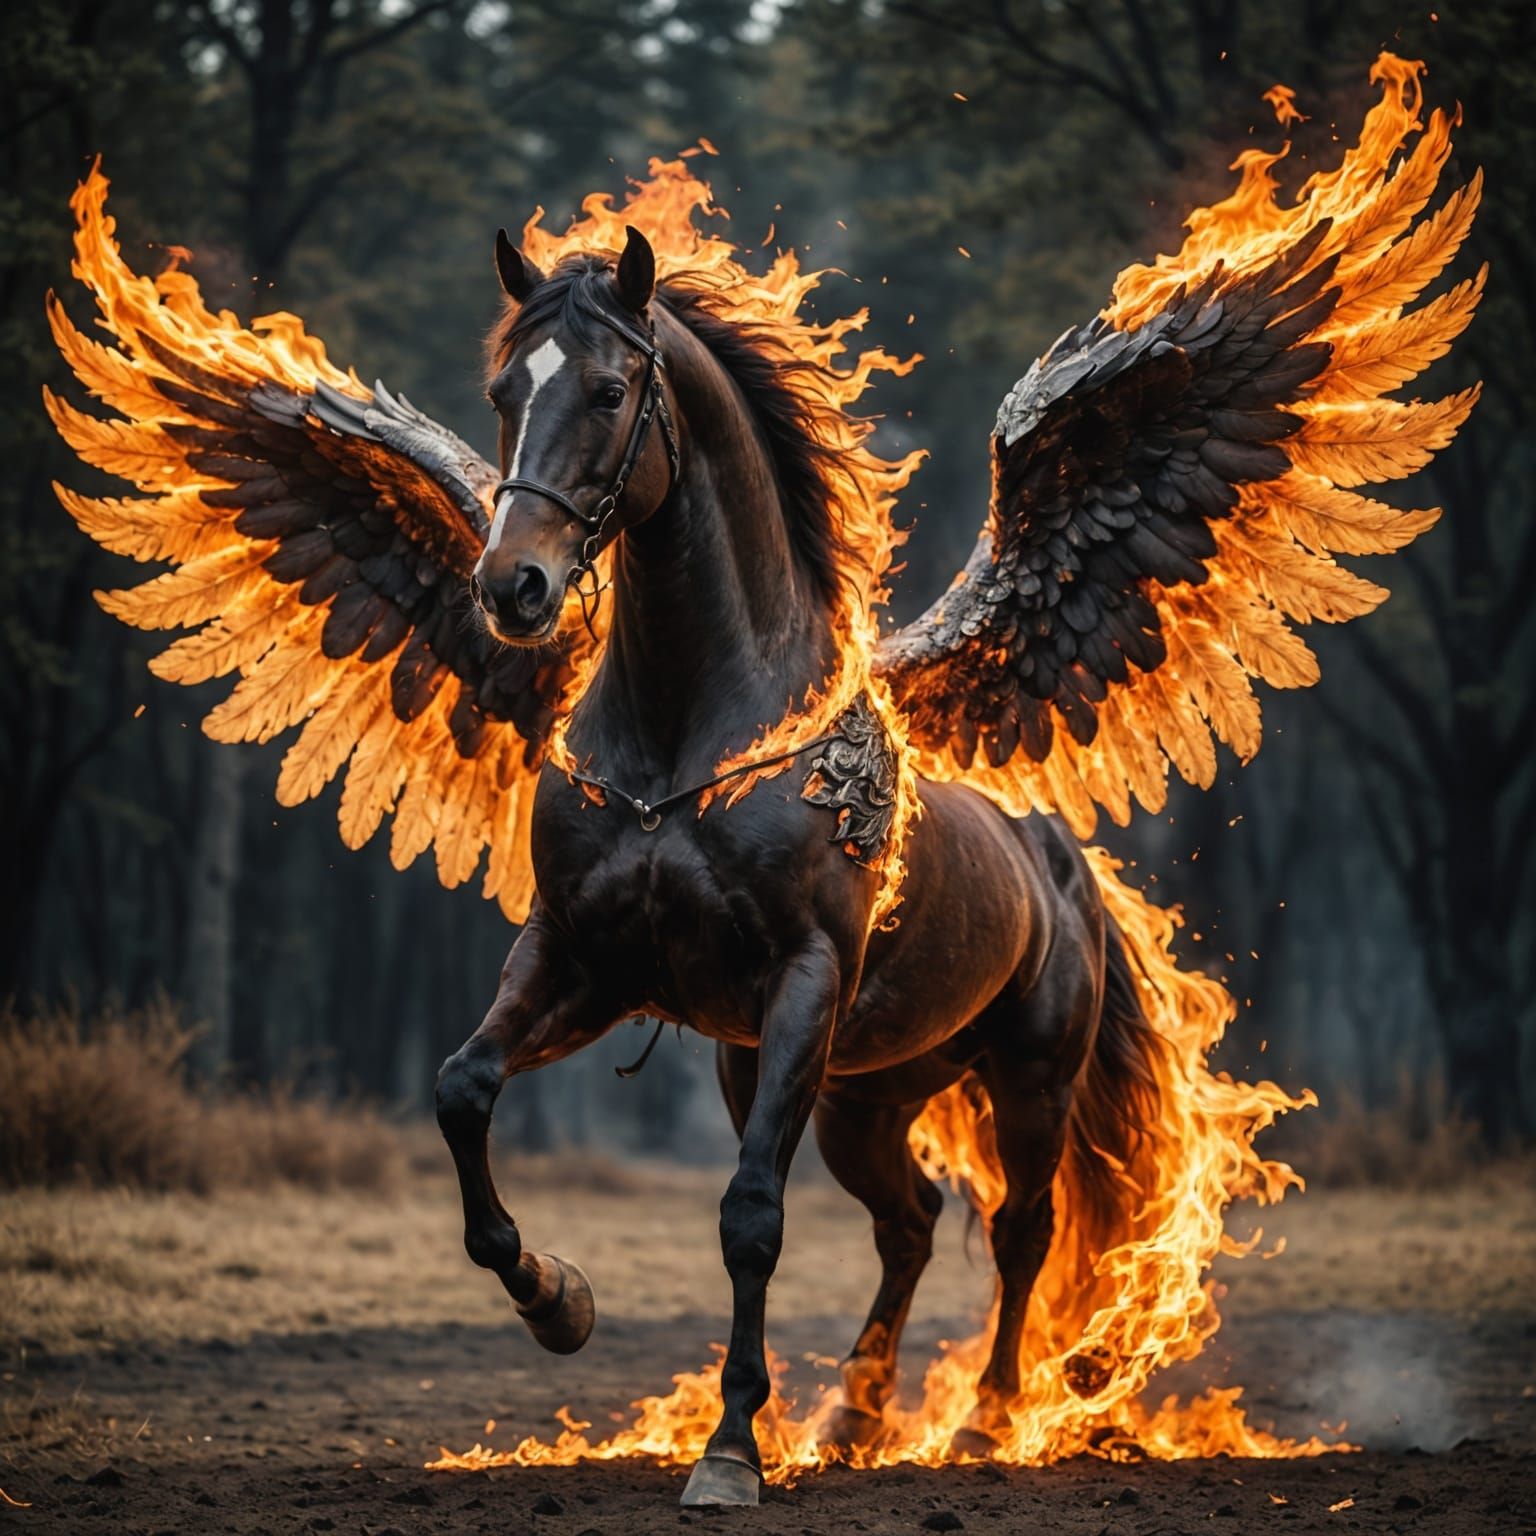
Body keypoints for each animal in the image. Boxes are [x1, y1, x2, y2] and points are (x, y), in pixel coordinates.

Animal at [432, 228, 1159, 1507]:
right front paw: (555, 1300)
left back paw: (983, 1422)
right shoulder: (581, 962)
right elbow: (464, 1089)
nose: (511, 587)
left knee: (1019, 1228)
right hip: (863, 1098)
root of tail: (1059, 860)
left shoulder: (803, 983)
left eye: (610, 393)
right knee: (910, 1222)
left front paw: (729, 1449)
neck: (688, 741)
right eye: (503, 393)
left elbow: (750, 1217)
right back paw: (855, 1419)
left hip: (1025, 1078)